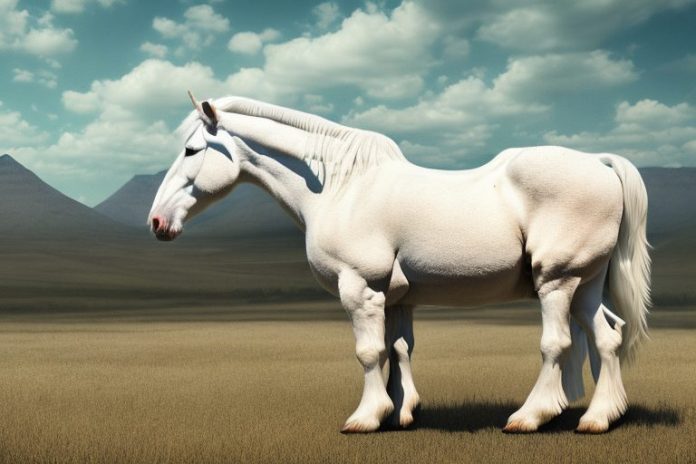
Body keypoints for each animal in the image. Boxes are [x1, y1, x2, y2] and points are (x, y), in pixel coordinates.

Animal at [148, 92, 650, 434]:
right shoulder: (394, 297)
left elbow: (369, 352)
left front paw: (365, 417)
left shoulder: (360, 288)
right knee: (607, 338)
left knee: (557, 344)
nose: (157, 222)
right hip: (585, 284)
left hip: (556, 282)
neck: (341, 188)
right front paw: (400, 412)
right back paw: (599, 417)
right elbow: (399, 349)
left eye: (192, 151)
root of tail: (600, 163)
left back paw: (530, 416)